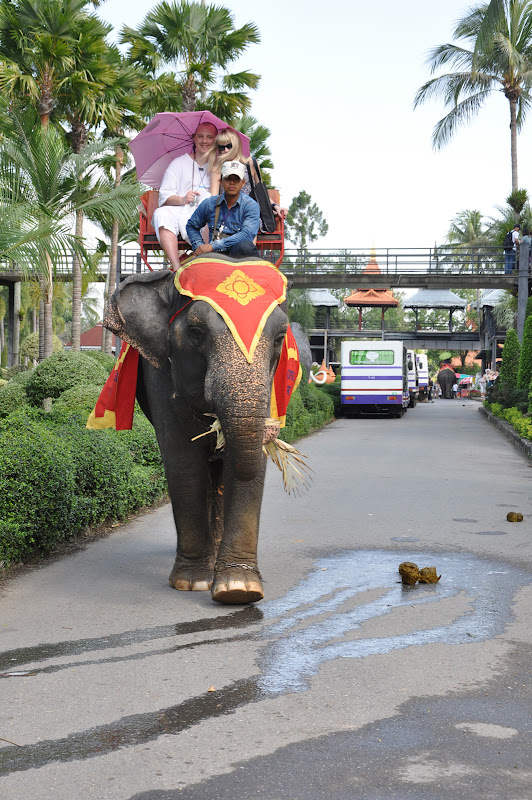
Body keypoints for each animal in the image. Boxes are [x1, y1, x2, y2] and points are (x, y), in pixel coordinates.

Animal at [103, 262, 296, 608]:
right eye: (196, 333)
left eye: (279, 338)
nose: (274, 431)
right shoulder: (160, 372)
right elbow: (183, 461)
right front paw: (192, 582)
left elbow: (249, 463)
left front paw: (238, 589)